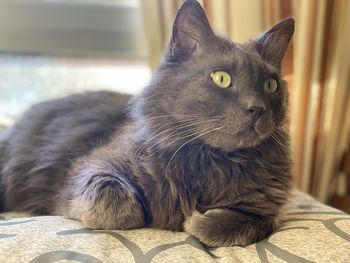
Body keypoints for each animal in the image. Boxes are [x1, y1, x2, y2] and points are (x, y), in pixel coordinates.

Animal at [0, 0, 296, 248]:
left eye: (270, 85)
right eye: (221, 78)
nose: (257, 108)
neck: (213, 160)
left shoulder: (268, 207)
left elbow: (252, 223)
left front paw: (198, 222)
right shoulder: (91, 168)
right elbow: (115, 205)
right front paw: (148, 214)